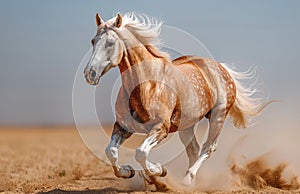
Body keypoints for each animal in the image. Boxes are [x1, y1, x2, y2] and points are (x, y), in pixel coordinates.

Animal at [83, 12, 268, 189]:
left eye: (110, 42)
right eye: (93, 41)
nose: (89, 74)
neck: (147, 83)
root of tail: (221, 68)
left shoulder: (160, 128)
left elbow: (140, 153)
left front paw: (158, 170)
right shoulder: (123, 126)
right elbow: (111, 152)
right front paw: (128, 172)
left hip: (218, 117)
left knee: (208, 147)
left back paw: (187, 179)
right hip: (186, 126)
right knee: (193, 150)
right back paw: (191, 182)